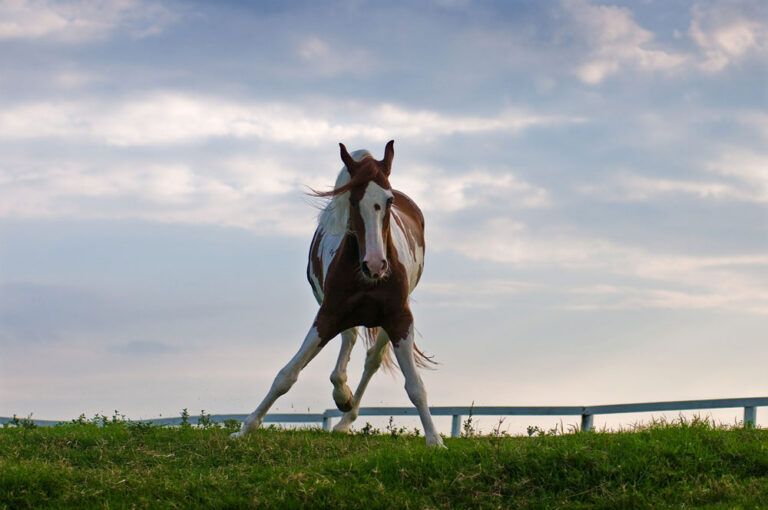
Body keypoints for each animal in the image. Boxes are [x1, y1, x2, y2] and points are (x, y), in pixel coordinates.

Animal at [230, 139, 444, 446]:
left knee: (371, 360)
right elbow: (286, 375)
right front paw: (246, 428)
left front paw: (434, 439)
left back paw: (345, 418)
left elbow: (415, 385)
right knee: (349, 338)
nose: (375, 264)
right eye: (353, 200)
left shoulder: (400, 319)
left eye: (388, 201)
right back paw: (342, 398)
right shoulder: (327, 315)